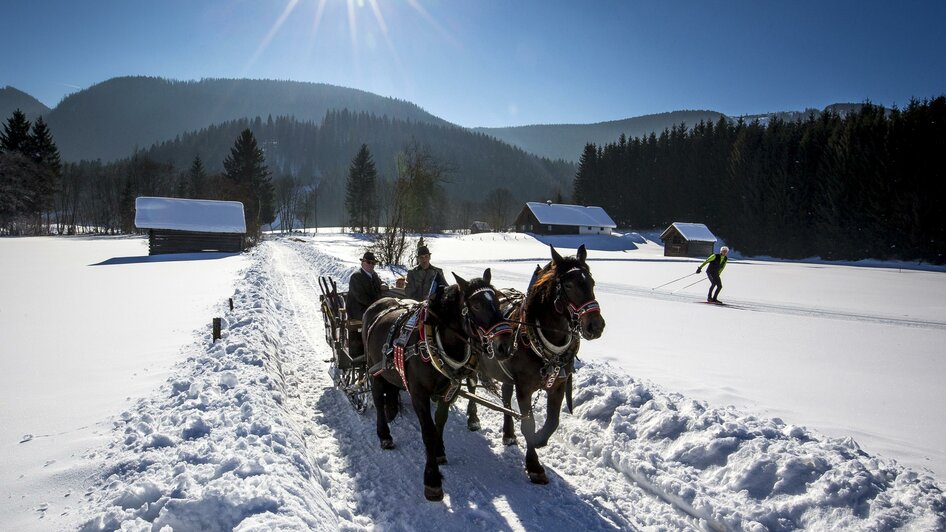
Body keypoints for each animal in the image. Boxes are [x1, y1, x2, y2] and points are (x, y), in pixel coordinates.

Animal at [360, 268, 508, 500]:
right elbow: (428, 432)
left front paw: (439, 452)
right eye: (476, 305)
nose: (505, 346)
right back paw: (384, 434)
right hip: (374, 369)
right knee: (377, 398)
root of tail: (378, 303)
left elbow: (440, 421)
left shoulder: (449, 389)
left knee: (391, 389)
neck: (436, 344)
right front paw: (432, 479)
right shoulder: (419, 394)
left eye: (498, 302)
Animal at [464, 246, 604, 486]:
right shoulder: (525, 388)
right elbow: (527, 423)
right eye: (568, 285)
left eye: (592, 282)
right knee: (472, 386)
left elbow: (553, 421)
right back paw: (473, 419)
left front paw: (539, 440)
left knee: (505, 397)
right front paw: (534, 465)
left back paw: (508, 434)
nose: (596, 325)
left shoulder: (558, 385)